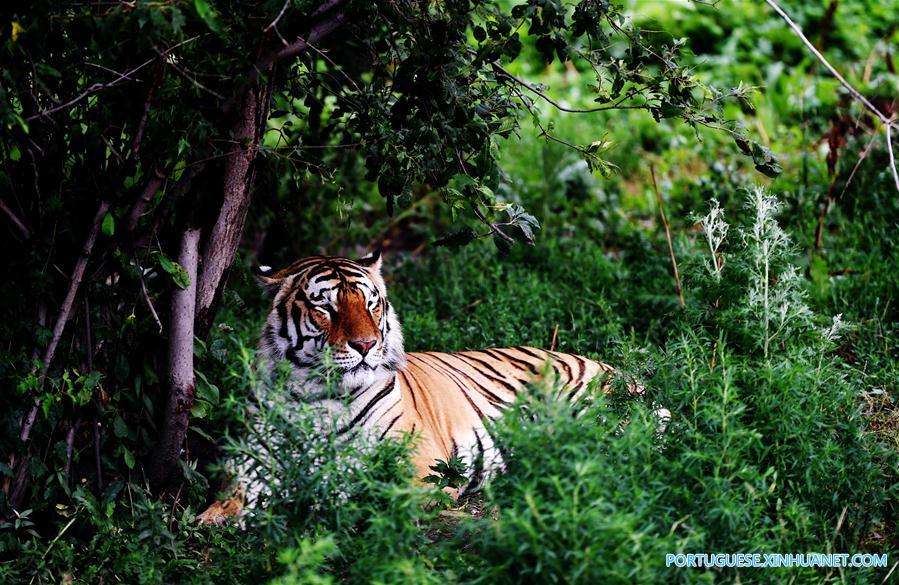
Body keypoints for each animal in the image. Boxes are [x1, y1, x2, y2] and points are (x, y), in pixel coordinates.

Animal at [196, 252, 664, 524]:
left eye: (370, 304)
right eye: (325, 307)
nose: (365, 345)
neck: (317, 395)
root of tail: (619, 371)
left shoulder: (416, 463)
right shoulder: (252, 459)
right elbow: (232, 496)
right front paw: (210, 520)